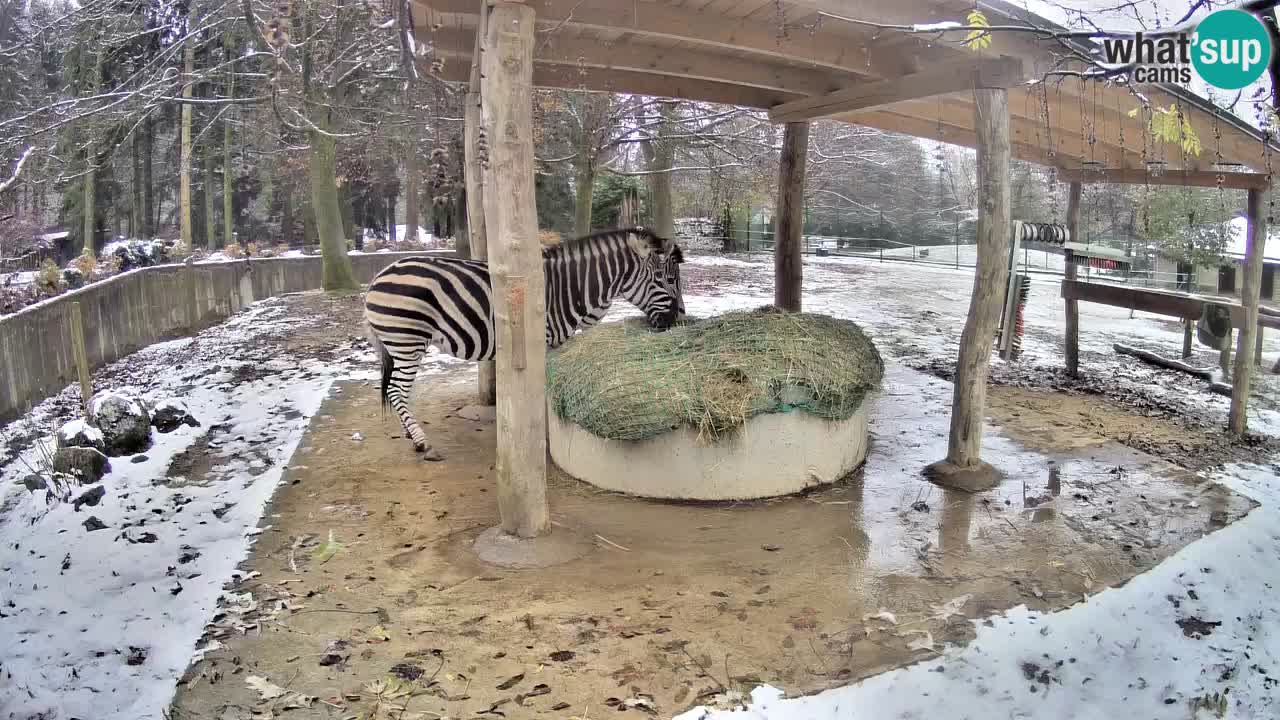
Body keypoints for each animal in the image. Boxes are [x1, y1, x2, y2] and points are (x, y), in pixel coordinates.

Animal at [366, 226, 686, 456]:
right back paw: (422, 442)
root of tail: (378, 277)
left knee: (397, 392)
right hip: (408, 341)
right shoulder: (541, 343)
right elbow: (540, 391)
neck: (568, 287)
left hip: (398, 345)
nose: (677, 321)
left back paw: (410, 433)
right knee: (396, 390)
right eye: (665, 279)